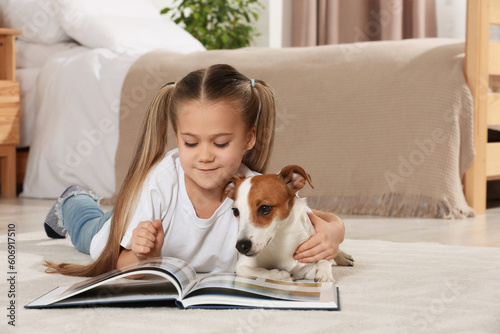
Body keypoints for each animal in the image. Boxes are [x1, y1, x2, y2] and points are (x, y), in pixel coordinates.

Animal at [223, 164, 356, 282]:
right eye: (235, 211)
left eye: (264, 208)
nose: (241, 246)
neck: (282, 240)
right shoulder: (242, 266)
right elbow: (260, 272)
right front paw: (281, 275)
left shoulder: (308, 265)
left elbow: (324, 260)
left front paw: (325, 274)